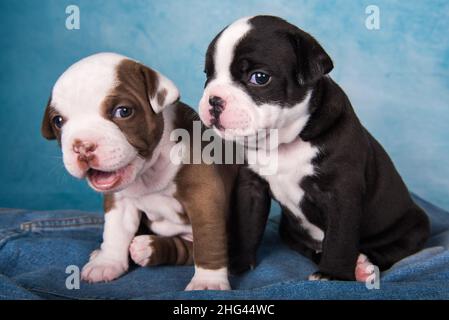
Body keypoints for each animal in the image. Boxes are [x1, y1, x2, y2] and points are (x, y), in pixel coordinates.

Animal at [40, 52, 268, 288]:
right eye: (58, 121)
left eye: (123, 111)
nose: (83, 146)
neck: (149, 171)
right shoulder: (120, 201)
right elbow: (115, 232)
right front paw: (107, 262)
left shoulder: (204, 198)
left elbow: (209, 240)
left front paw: (208, 282)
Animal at [198, 15, 428, 280]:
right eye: (208, 74)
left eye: (259, 77)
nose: (214, 100)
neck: (283, 142)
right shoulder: (251, 187)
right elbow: (247, 225)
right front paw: (239, 264)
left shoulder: (342, 194)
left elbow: (340, 239)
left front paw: (333, 274)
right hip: (289, 232)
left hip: (415, 227)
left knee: (388, 251)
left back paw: (362, 267)